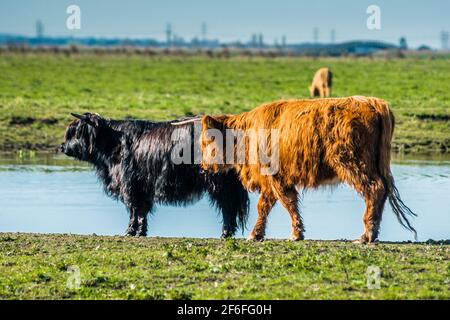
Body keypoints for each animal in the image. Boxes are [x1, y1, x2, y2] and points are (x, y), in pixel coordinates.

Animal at [59, 113, 250, 238]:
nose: (62, 147)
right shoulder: (142, 186)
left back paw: (225, 233)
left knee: (227, 206)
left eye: (75, 133)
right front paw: (140, 232)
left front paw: (130, 232)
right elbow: (141, 210)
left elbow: (134, 209)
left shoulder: (130, 184)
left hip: (220, 183)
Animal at [199, 97, 416, 242]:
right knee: (382, 191)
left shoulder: (274, 177)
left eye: (206, 141)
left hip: (354, 163)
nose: (203, 167)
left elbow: (279, 203)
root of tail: (372, 102)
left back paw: (366, 235)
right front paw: (276, 233)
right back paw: (373, 233)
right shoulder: (275, 180)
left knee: (374, 189)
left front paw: (286, 234)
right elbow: (277, 204)